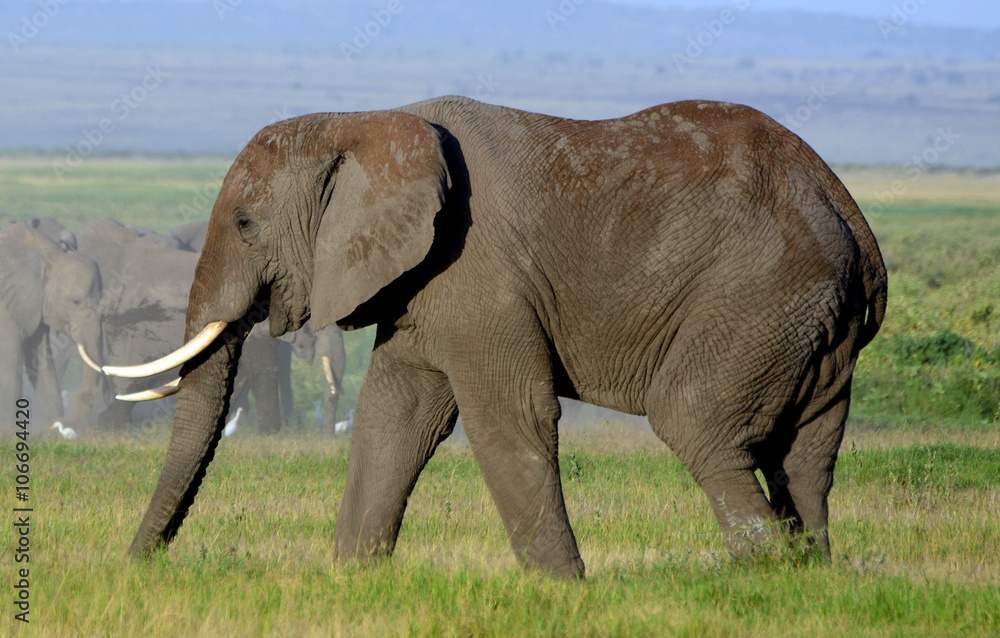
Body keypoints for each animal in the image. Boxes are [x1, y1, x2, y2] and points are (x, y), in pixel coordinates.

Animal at [0, 222, 103, 435]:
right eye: (75, 301)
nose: (72, 424)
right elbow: (10, 359)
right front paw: (8, 432)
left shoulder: (35, 304)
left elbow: (40, 359)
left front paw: (53, 426)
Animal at [116, 96, 887, 578]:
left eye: (245, 223)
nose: (133, 566)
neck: (367, 121)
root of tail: (848, 213)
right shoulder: (422, 281)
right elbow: (394, 417)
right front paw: (352, 578)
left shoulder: (475, 270)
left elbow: (508, 417)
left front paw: (562, 588)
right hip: (814, 323)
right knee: (806, 457)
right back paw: (807, 573)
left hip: (761, 293)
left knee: (697, 423)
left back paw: (761, 570)